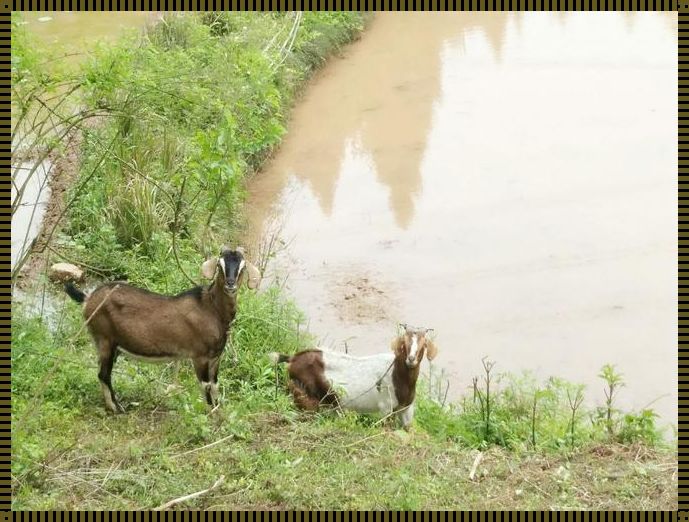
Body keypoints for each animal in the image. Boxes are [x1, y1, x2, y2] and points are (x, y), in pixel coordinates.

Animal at [63, 246, 260, 412]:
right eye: (220, 265)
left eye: (242, 267)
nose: (230, 284)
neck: (212, 309)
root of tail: (88, 298)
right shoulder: (200, 357)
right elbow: (206, 386)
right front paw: (211, 415)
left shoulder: (215, 358)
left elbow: (215, 384)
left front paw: (220, 410)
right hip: (105, 340)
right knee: (103, 374)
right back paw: (115, 407)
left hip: (113, 345)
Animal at [268, 322, 436, 428]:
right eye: (404, 344)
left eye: (423, 346)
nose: (411, 359)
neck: (397, 375)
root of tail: (292, 359)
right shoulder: (385, 409)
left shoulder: (407, 409)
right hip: (304, 396)